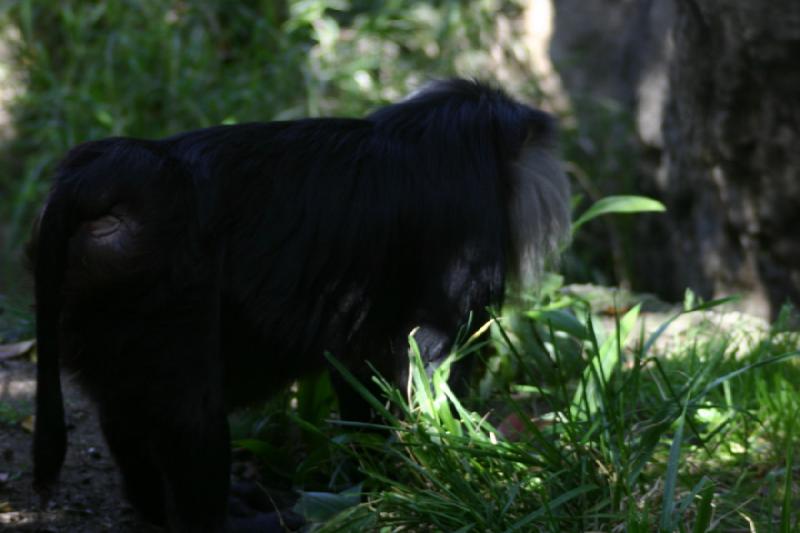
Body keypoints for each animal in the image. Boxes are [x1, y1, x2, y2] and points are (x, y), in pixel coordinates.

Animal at [29, 77, 568, 528]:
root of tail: (105, 176)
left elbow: (365, 370)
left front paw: (375, 487)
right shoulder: (470, 235)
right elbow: (424, 368)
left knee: (124, 415)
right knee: (193, 417)